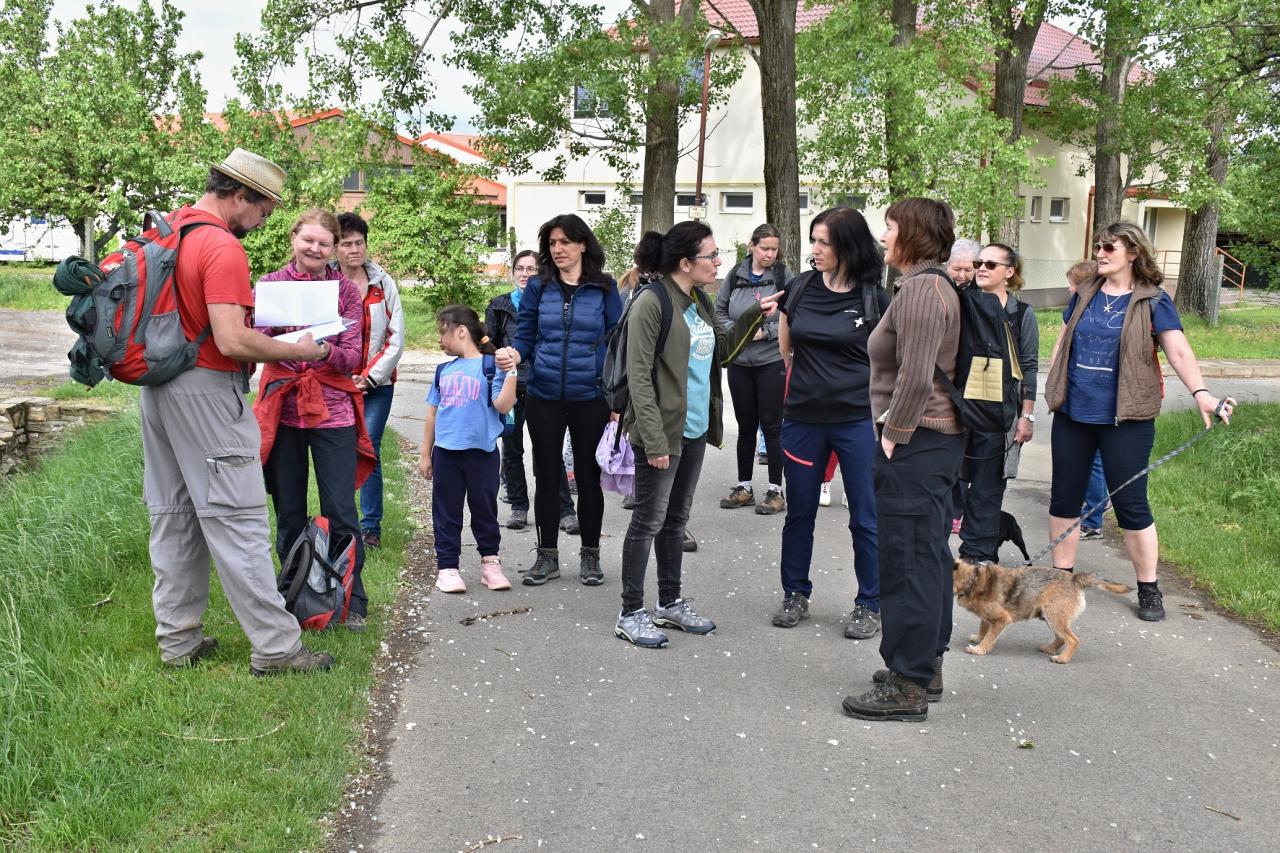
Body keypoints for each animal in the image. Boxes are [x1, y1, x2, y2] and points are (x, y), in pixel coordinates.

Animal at [952, 559, 1131, 664]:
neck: (973, 580)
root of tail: (1075, 578)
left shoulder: (1002, 619)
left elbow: (989, 637)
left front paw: (978, 649)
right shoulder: (988, 617)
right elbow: (983, 627)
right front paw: (978, 638)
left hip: (1053, 616)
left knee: (1073, 639)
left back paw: (1062, 658)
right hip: (1049, 616)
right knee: (1061, 638)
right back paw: (1049, 649)